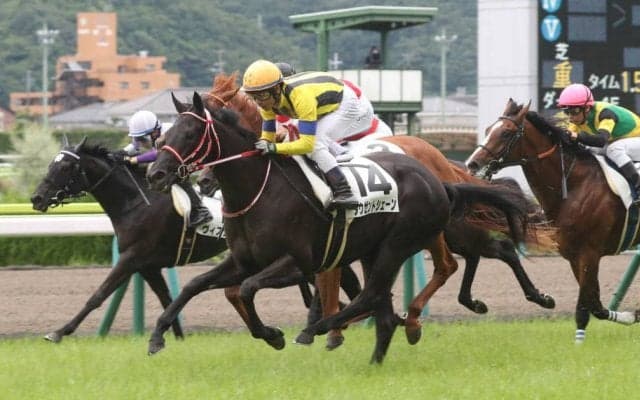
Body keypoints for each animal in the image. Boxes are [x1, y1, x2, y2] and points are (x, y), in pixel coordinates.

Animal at [30, 137, 360, 344]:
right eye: (50, 165)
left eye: (64, 167)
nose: (37, 198)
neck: (137, 201)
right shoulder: (148, 265)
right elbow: (166, 298)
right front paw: (175, 336)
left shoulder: (132, 258)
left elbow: (98, 295)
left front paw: (59, 332)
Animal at [146, 91, 531, 363]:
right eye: (164, 134)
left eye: (191, 132)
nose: (156, 174)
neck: (260, 188)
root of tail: (439, 179)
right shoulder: (243, 261)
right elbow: (196, 285)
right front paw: (157, 335)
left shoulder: (296, 261)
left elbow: (248, 289)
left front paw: (278, 334)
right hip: (379, 249)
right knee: (383, 299)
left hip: (401, 243)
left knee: (392, 287)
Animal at [202, 72, 555, 315]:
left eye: (208, 115)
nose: (204, 182)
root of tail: (440, 156)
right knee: (477, 253)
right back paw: (471, 301)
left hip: (447, 224)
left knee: (482, 253)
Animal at [465, 98, 640, 342]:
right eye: (488, 130)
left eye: (506, 133)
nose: (473, 164)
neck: (575, 186)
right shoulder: (573, 255)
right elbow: (595, 305)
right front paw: (633, 315)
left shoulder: (589, 253)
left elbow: (584, 308)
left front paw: (579, 344)